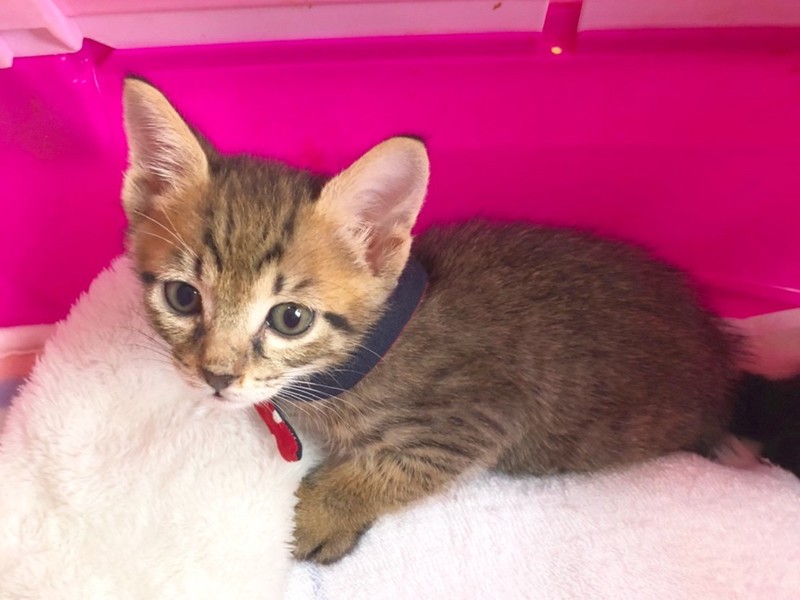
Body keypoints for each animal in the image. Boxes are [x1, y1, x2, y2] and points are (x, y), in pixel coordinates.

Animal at [121, 78, 739, 565]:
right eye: (182, 297)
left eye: (290, 318)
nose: (216, 377)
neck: (363, 356)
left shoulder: (478, 413)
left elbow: (397, 465)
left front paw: (313, 515)